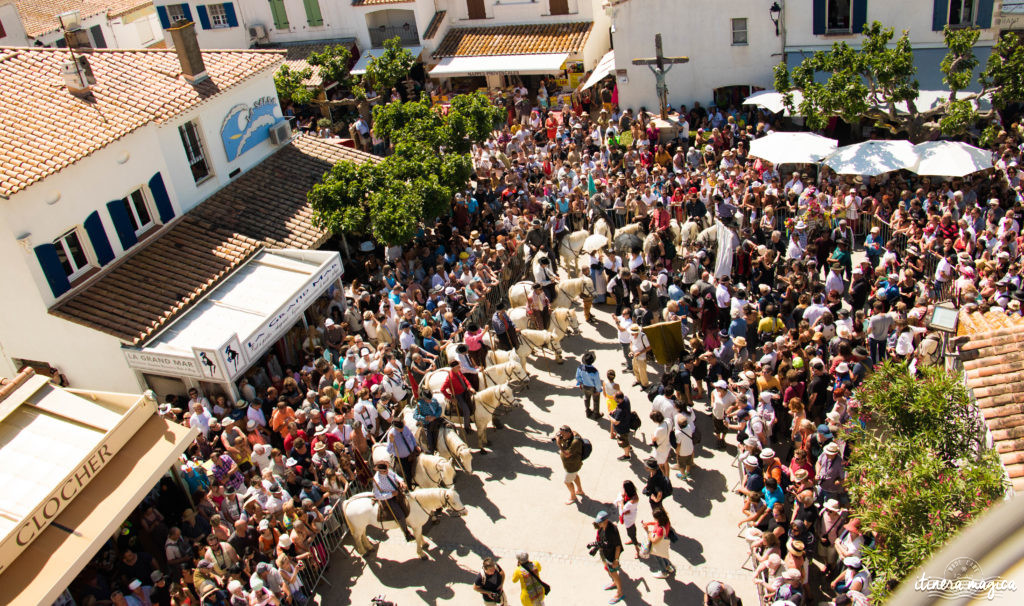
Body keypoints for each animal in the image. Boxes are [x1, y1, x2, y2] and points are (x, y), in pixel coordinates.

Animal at [339, 487, 468, 556]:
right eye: (454, 502)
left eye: (460, 497)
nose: (465, 511)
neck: (420, 503)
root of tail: (349, 501)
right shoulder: (416, 526)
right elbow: (417, 537)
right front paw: (421, 553)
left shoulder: (417, 526)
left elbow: (420, 535)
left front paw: (424, 544)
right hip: (358, 527)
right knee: (357, 537)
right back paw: (363, 552)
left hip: (362, 525)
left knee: (363, 534)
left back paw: (369, 547)